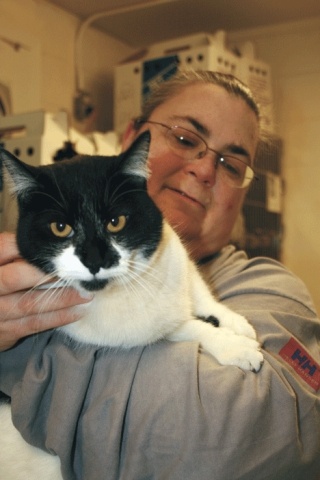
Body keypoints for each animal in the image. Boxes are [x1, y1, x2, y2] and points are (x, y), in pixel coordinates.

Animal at [0, 132, 262, 480]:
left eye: (116, 222)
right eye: (60, 228)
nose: (95, 260)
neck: (129, 285)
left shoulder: (177, 256)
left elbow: (201, 292)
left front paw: (234, 322)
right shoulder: (140, 331)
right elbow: (190, 327)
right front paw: (237, 347)